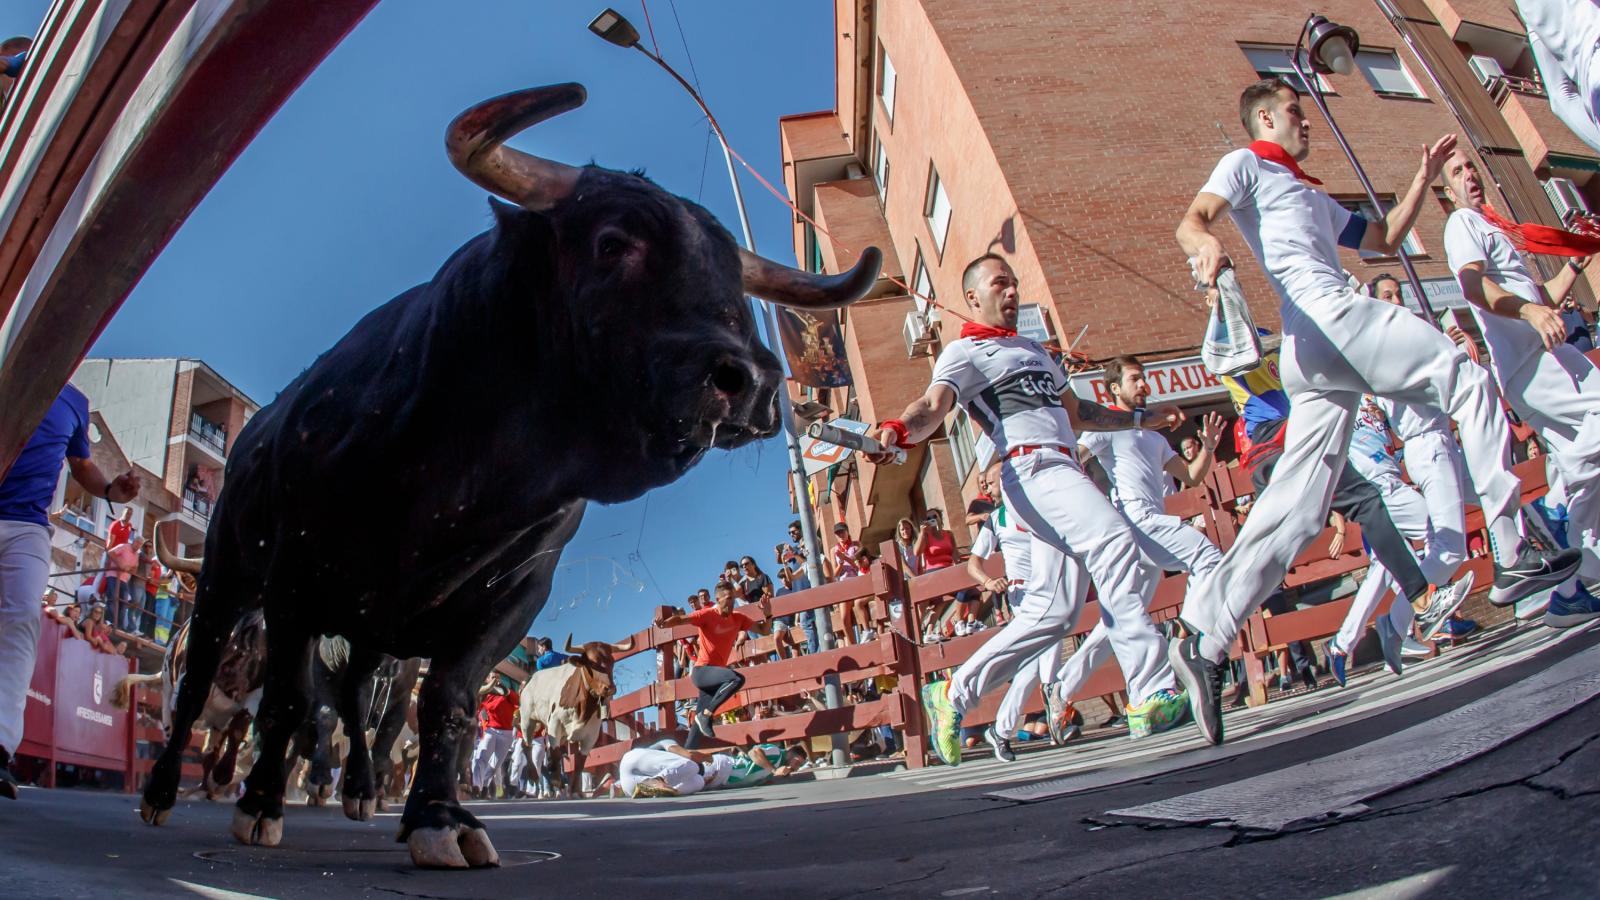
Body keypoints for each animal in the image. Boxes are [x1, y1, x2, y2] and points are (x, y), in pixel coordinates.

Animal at [137, 80, 883, 864]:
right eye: (613, 242)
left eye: (735, 279)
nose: (754, 381)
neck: (461, 483)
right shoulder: (293, 583)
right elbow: (281, 704)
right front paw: (257, 803)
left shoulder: (510, 600)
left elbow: (447, 705)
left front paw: (437, 817)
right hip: (227, 576)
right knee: (200, 686)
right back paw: (164, 791)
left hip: (367, 640)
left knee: (363, 710)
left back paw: (361, 790)